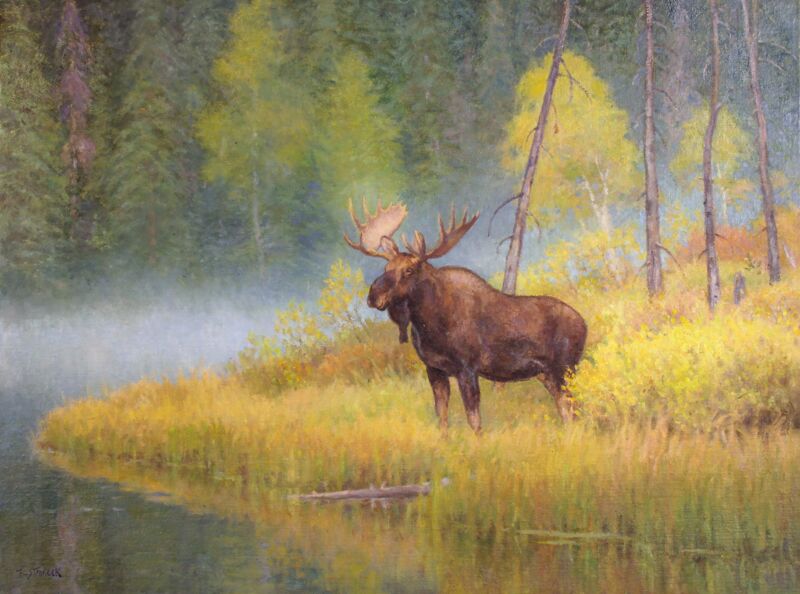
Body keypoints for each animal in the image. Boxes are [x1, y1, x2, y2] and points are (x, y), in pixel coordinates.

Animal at [344, 199, 587, 432]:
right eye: (386, 268)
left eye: (408, 271)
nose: (373, 295)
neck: (428, 325)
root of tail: (584, 323)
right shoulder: (434, 369)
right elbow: (442, 417)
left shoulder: (467, 368)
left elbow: (474, 420)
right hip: (548, 374)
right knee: (567, 411)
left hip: (565, 368)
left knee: (574, 410)